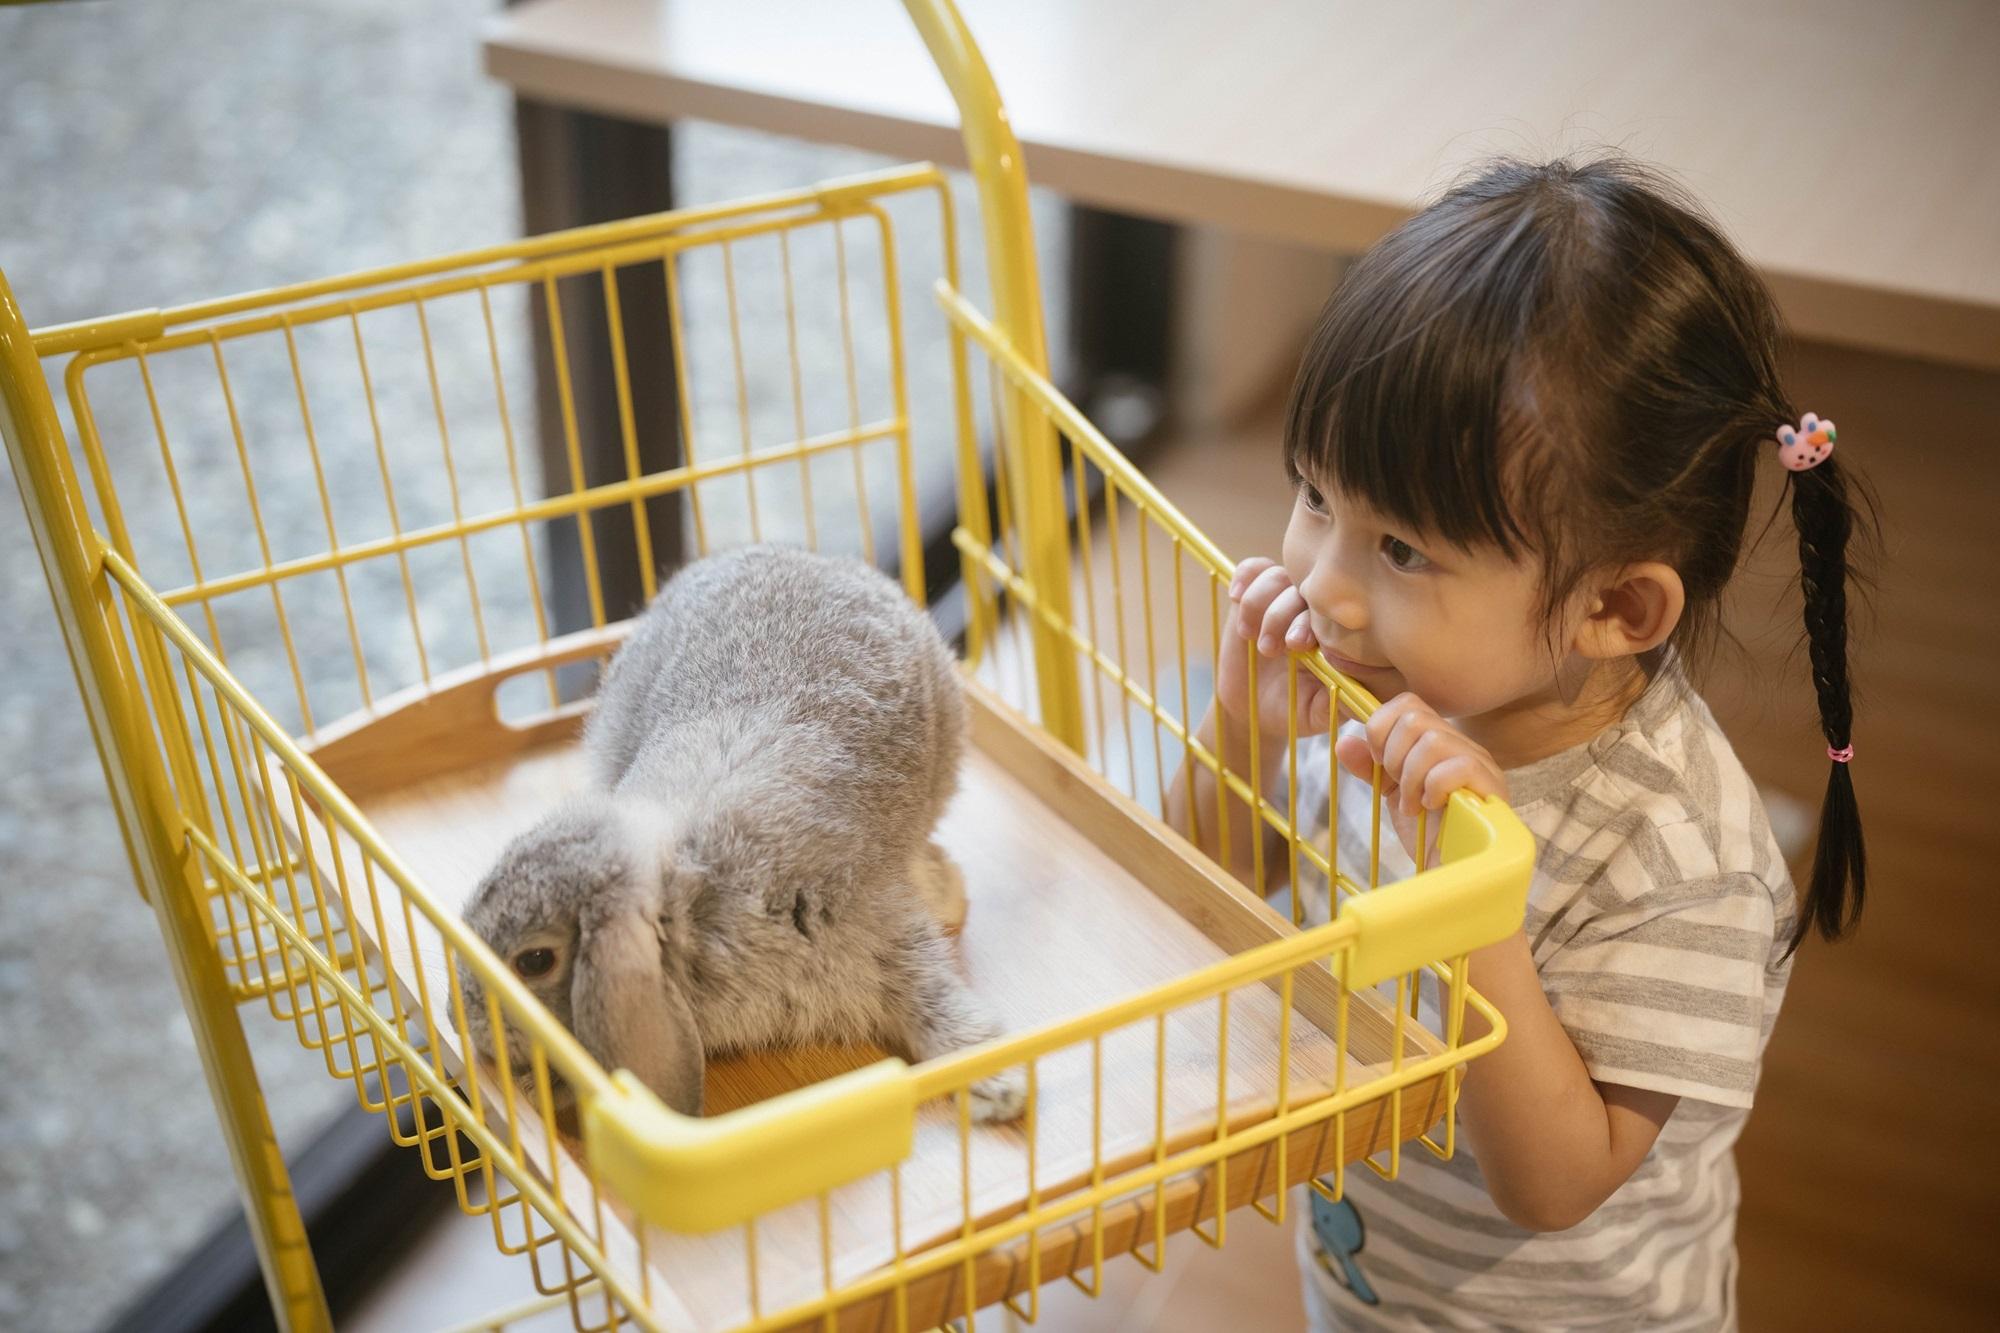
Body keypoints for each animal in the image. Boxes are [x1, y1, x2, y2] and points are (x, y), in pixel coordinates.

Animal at [460, 544, 1024, 1112]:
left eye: (534, 961)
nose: (467, 1025)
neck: (688, 898)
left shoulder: (880, 932)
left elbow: (933, 999)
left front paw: (1000, 1084)